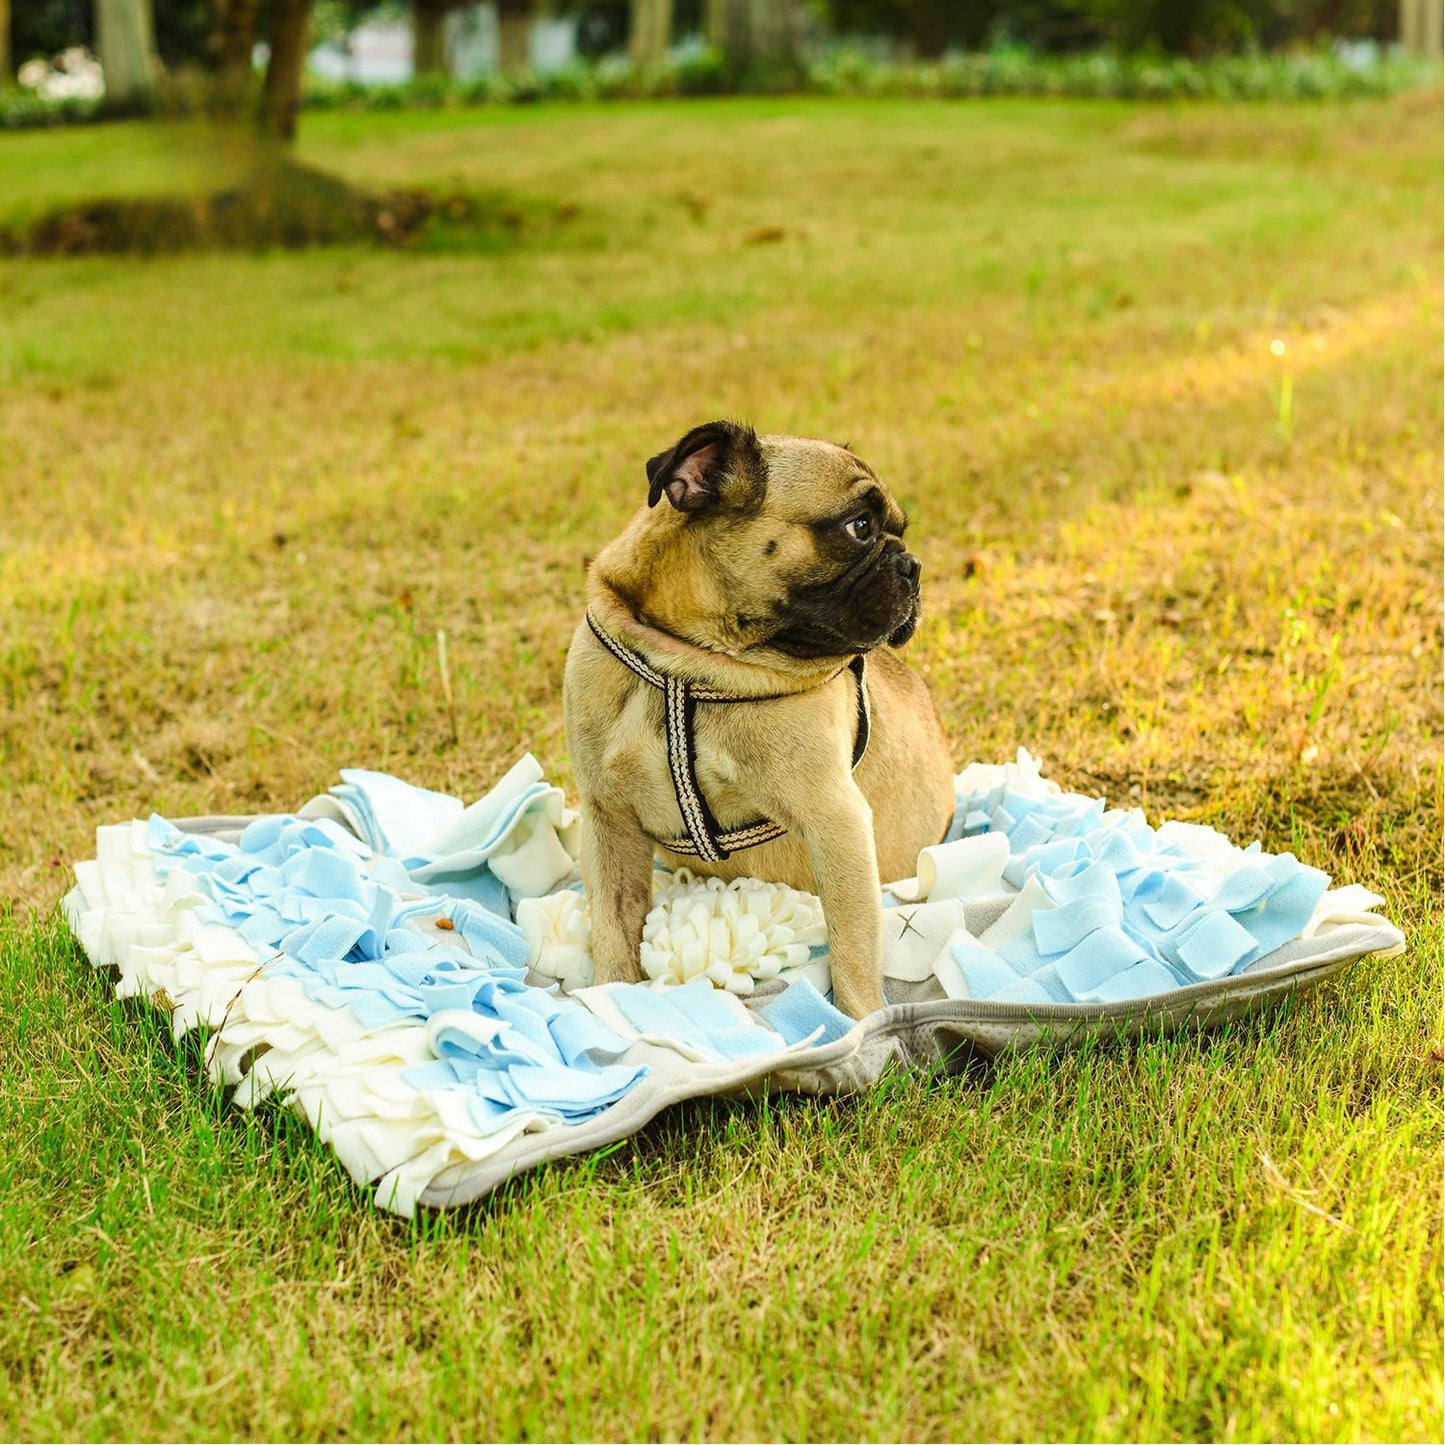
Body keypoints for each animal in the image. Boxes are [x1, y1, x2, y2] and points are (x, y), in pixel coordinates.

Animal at [563, 421, 959, 1017]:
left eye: (896, 530)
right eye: (860, 527)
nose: (912, 565)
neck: (687, 663)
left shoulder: (835, 822)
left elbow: (853, 946)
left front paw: (864, 1025)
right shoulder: (608, 820)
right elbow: (614, 925)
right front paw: (611, 1000)